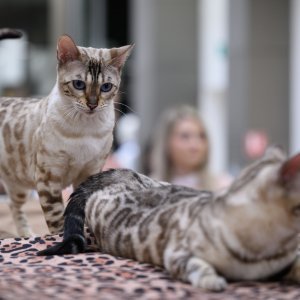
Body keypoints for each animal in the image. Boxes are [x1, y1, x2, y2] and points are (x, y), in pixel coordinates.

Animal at [0, 31, 132, 237]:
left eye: (106, 87)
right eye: (79, 84)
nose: (92, 104)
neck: (85, 130)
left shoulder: (89, 172)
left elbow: (82, 208)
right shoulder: (48, 176)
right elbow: (56, 218)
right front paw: (61, 238)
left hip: (18, 187)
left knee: (13, 206)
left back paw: (26, 234)